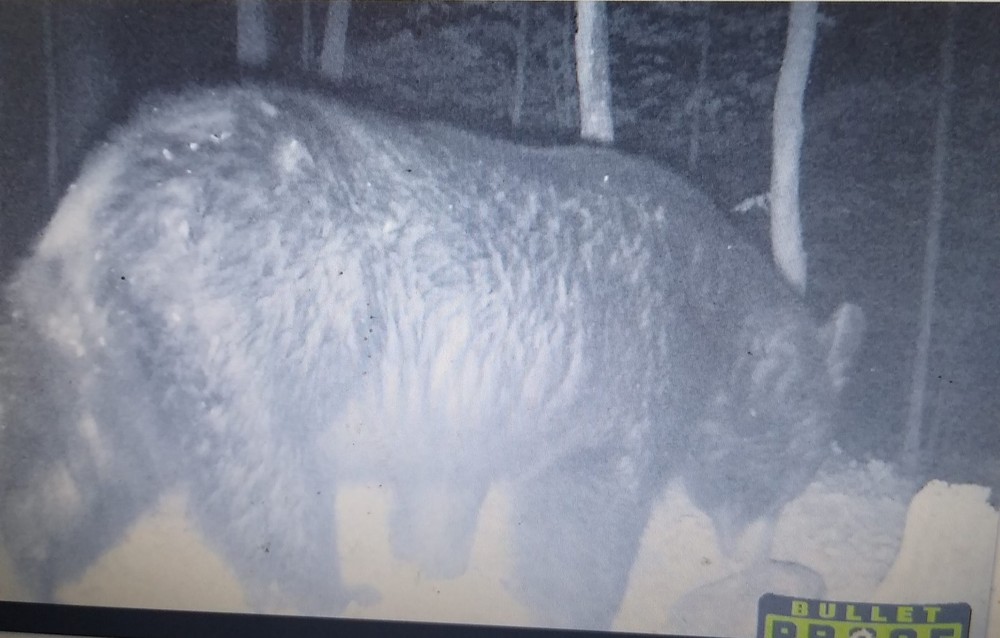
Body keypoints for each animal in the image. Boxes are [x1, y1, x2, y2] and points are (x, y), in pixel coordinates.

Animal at [0, 85, 862, 627]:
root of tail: (120, 186)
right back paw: (327, 592)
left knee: (66, 464)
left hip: (88, 339)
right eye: (791, 467)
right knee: (267, 486)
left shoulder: (468, 396)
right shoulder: (625, 380)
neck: (714, 315)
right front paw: (569, 601)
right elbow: (583, 512)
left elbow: (445, 493)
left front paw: (436, 568)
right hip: (263, 329)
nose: (756, 553)